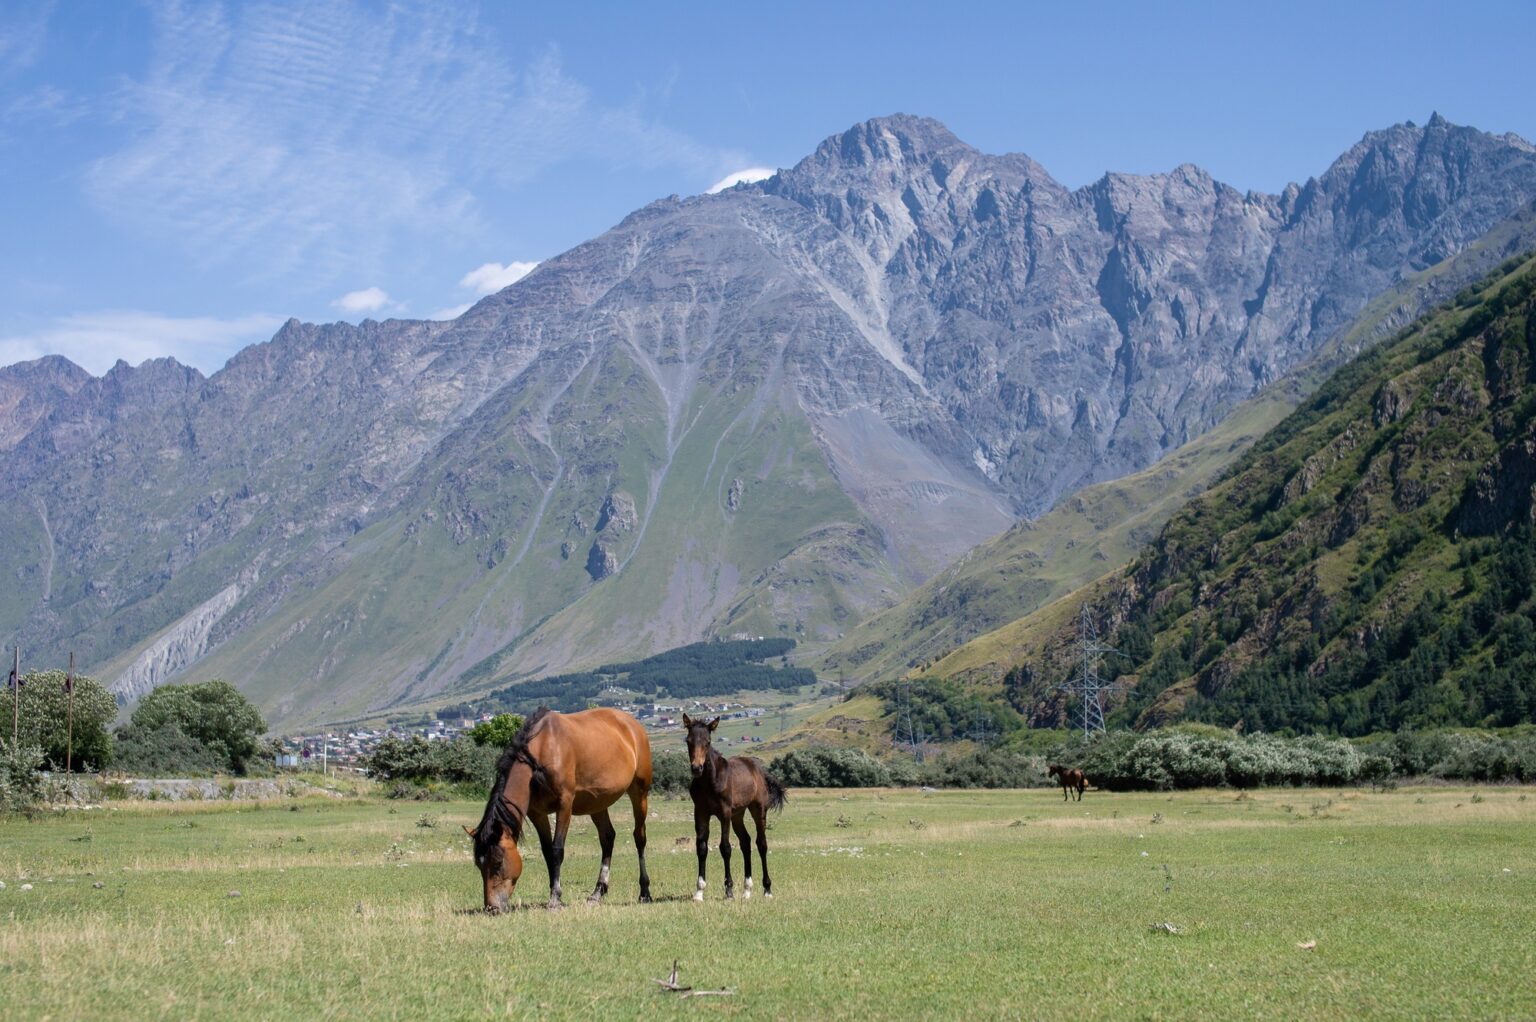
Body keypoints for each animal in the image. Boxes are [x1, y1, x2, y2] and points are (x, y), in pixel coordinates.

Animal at [466, 707, 653, 913]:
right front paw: (555, 894)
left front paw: (555, 898)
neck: (542, 751)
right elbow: (548, 852)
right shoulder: (537, 813)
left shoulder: (564, 805)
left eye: (498, 862)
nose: (491, 907)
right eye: (479, 864)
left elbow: (557, 850)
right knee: (607, 838)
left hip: (639, 793)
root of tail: (632, 724)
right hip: (597, 803)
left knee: (639, 837)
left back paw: (645, 892)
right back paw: (597, 893)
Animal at [683, 712, 787, 901]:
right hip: (738, 815)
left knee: (761, 844)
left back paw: (767, 889)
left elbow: (725, 848)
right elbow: (701, 847)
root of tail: (759, 770)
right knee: (746, 842)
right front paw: (699, 892)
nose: (696, 768)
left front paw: (729, 890)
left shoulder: (724, 813)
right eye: (688, 741)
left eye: (708, 741)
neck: (710, 781)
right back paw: (747, 890)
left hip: (758, 810)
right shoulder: (700, 812)